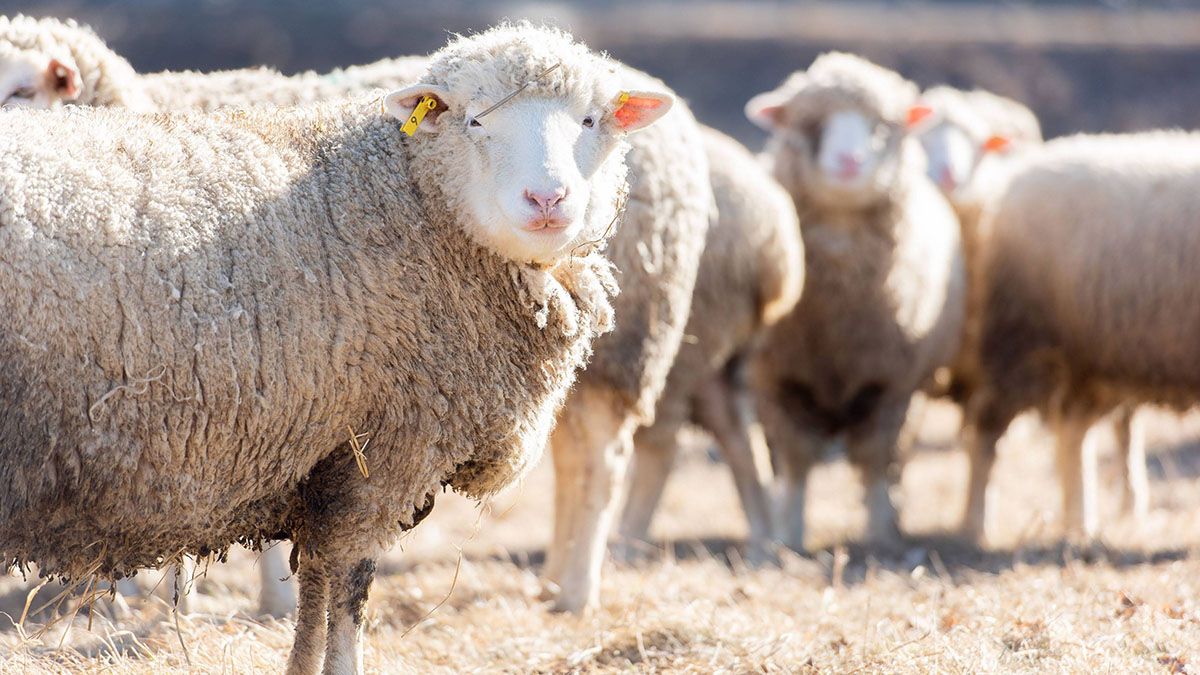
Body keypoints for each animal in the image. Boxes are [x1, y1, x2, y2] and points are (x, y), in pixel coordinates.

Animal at [0, 24, 678, 674]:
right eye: (474, 120)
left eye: (589, 121)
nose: (547, 201)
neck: (396, 194)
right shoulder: (381, 449)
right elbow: (349, 586)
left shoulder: (320, 453)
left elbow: (317, 585)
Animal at [616, 126, 805, 562]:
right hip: (713, 354)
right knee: (739, 437)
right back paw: (762, 541)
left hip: (670, 341)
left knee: (661, 445)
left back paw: (625, 544)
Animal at [744, 52, 966, 551]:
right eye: (811, 123)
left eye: (883, 125)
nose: (849, 161)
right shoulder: (779, 383)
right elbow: (797, 462)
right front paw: (789, 534)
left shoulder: (890, 386)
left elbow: (876, 460)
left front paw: (883, 533)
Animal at [961, 130, 1200, 543]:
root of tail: (1010, 182)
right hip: (1020, 341)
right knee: (986, 429)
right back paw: (976, 524)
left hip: (1089, 360)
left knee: (1073, 433)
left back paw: (1079, 523)